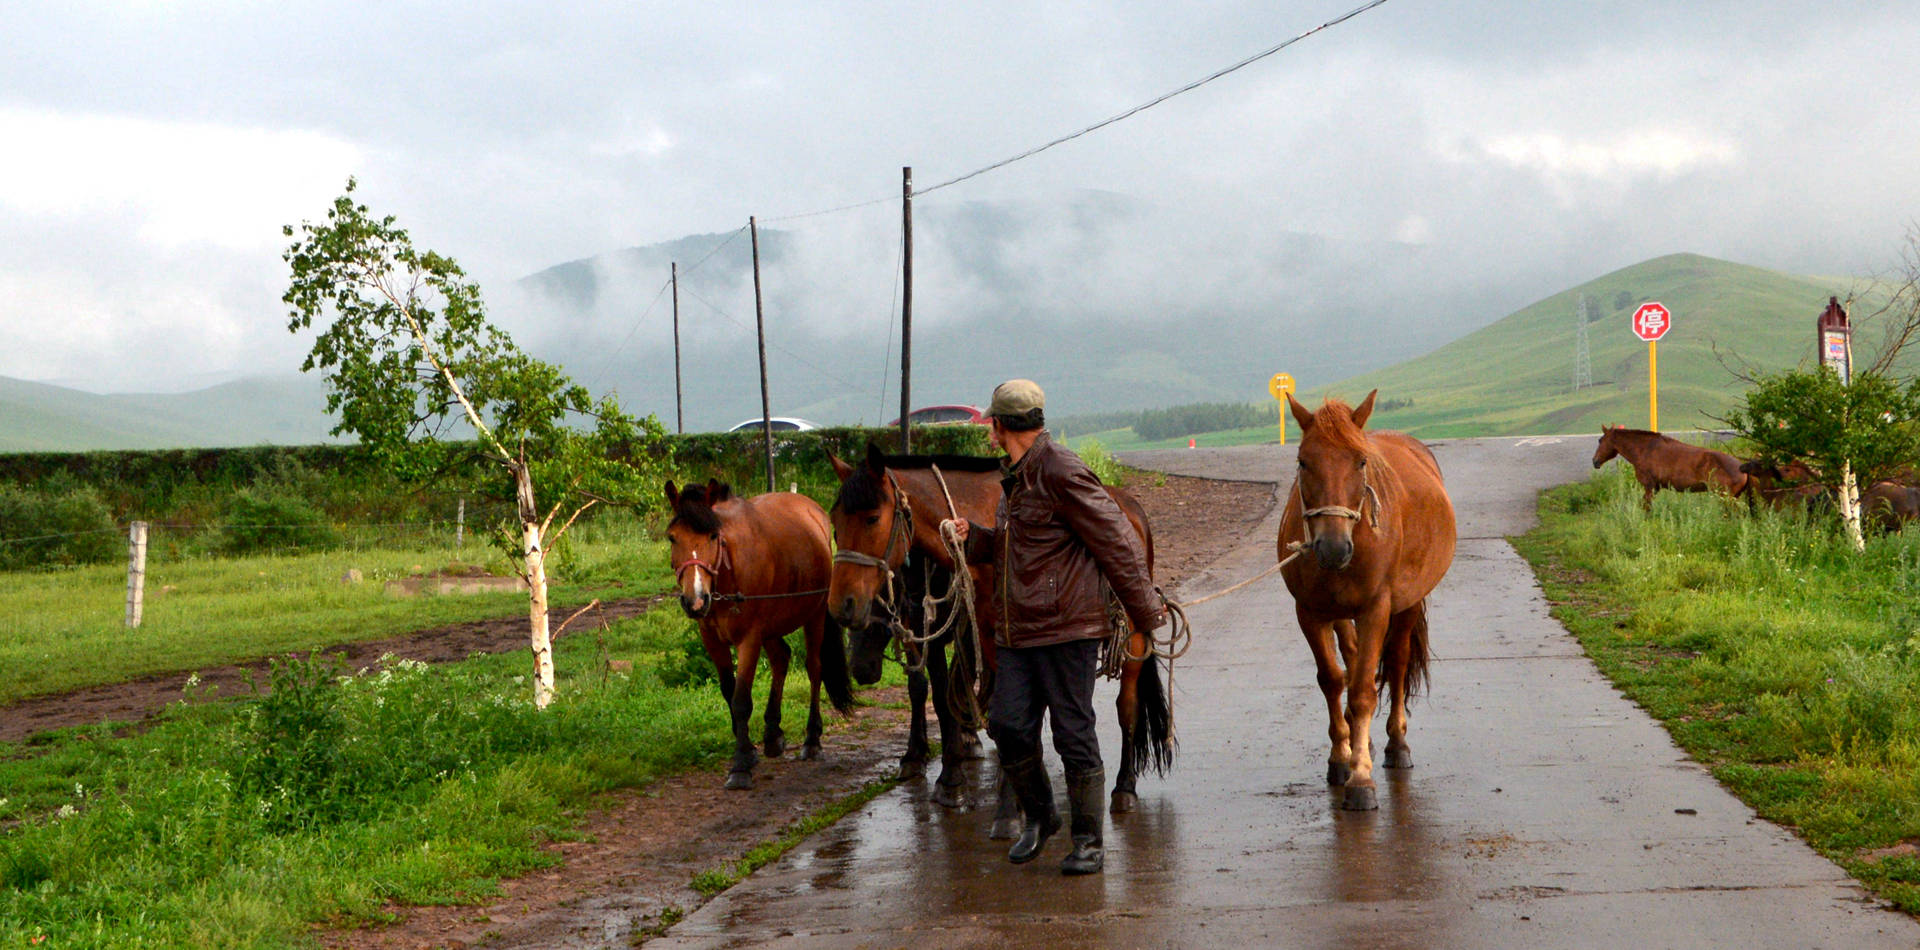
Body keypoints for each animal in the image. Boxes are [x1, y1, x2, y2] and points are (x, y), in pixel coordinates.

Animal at [664, 479, 852, 790]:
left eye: (713, 536)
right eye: (672, 538)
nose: (696, 600)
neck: (729, 572)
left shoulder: (749, 639)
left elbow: (741, 700)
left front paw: (740, 765)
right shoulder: (712, 641)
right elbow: (728, 692)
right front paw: (750, 750)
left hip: (813, 617)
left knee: (814, 668)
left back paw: (812, 739)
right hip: (772, 627)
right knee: (781, 659)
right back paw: (773, 733)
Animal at [1282, 389, 1459, 813]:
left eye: (1360, 461)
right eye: (1303, 461)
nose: (1332, 548)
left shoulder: (1375, 610)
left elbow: (1364, 690)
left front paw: (1361, 779)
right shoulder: (1309, 613)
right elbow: (1332, 679)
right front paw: (1340, 757)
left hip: (1407, 606)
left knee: (1395, 665)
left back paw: (1397, 744)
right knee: (1351, 656)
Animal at [1589, 426, 1758, 514]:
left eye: (1600, 440)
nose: (1595, 461)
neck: (1645, 449)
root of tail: (1742, 467)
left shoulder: (1649, 487)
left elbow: (1646, 508)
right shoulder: (1655, 489)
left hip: (1726, 498)